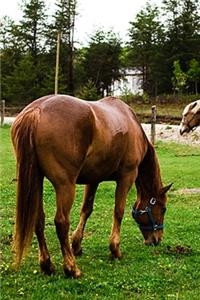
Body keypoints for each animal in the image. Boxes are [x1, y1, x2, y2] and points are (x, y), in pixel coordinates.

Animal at [10, 95, 171, 278]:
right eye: (163, 209)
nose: (156, 239)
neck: (130, 122)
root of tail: (36, 111)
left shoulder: (93, 179)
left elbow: (86, 210)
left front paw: (77, 244)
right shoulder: (127, 176)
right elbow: (118, 212)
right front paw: (115, 249)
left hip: (37, 181)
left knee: (38, 220)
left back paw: (47, 265)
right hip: (65, 186)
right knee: (61, 222)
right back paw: (71, 268)